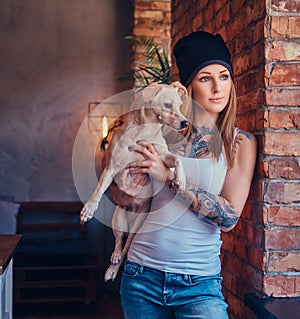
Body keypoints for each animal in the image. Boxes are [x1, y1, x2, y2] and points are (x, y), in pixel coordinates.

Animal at [78, 82, 189, 282]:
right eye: (168, 105)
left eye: (180, 106)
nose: (186, 123)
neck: (147, 131)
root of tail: (130, 222)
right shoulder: (112, 167)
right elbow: (99, 190)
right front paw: (89, 210)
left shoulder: (161, 156)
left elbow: (177, 159)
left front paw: (181, 180)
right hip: (117, 220)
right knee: (118, 242)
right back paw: (113, 260)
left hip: (137, 227)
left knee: (126, 248)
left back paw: (114, 268)